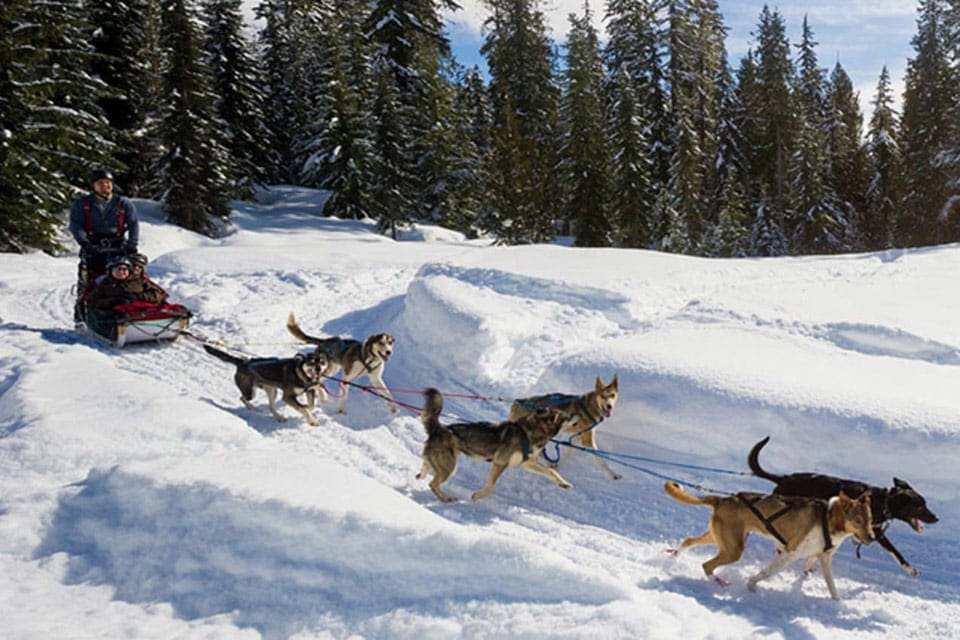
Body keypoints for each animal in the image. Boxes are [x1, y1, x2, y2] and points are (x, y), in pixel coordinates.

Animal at [418, 388, 568, 502]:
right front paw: (478, 496)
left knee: (423, 473)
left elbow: (551, 472)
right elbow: (491, 486)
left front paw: (564, 483)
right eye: (563, 415)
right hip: (449, 469)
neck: (532, 430)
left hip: (441, 465)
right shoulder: (500, 462)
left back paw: (422, 478)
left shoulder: (528, 463)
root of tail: (439, 429)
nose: (569, 414)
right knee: (432, 483)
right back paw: (446, 498)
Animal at [664, 480, 872, 600]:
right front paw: (751, 584)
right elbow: (765, 573)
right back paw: (719, 582)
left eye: (870, 519)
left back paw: (675, 557)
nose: (871, 537)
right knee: (706, 565)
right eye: (858, 520)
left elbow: (832, 586)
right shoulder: (789, 553)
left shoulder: (824, 558)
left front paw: (838, 603)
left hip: (720, 540)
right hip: (733, 550)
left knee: (689, 540)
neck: (827, 520)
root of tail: (723, 499)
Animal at [752, 436, 936, 576]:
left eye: (925, 503)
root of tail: (783, 478)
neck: (882, 501)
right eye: (920, 506)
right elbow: (895, 552)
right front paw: (910, 569)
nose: (936, 518)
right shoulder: (876, 533)